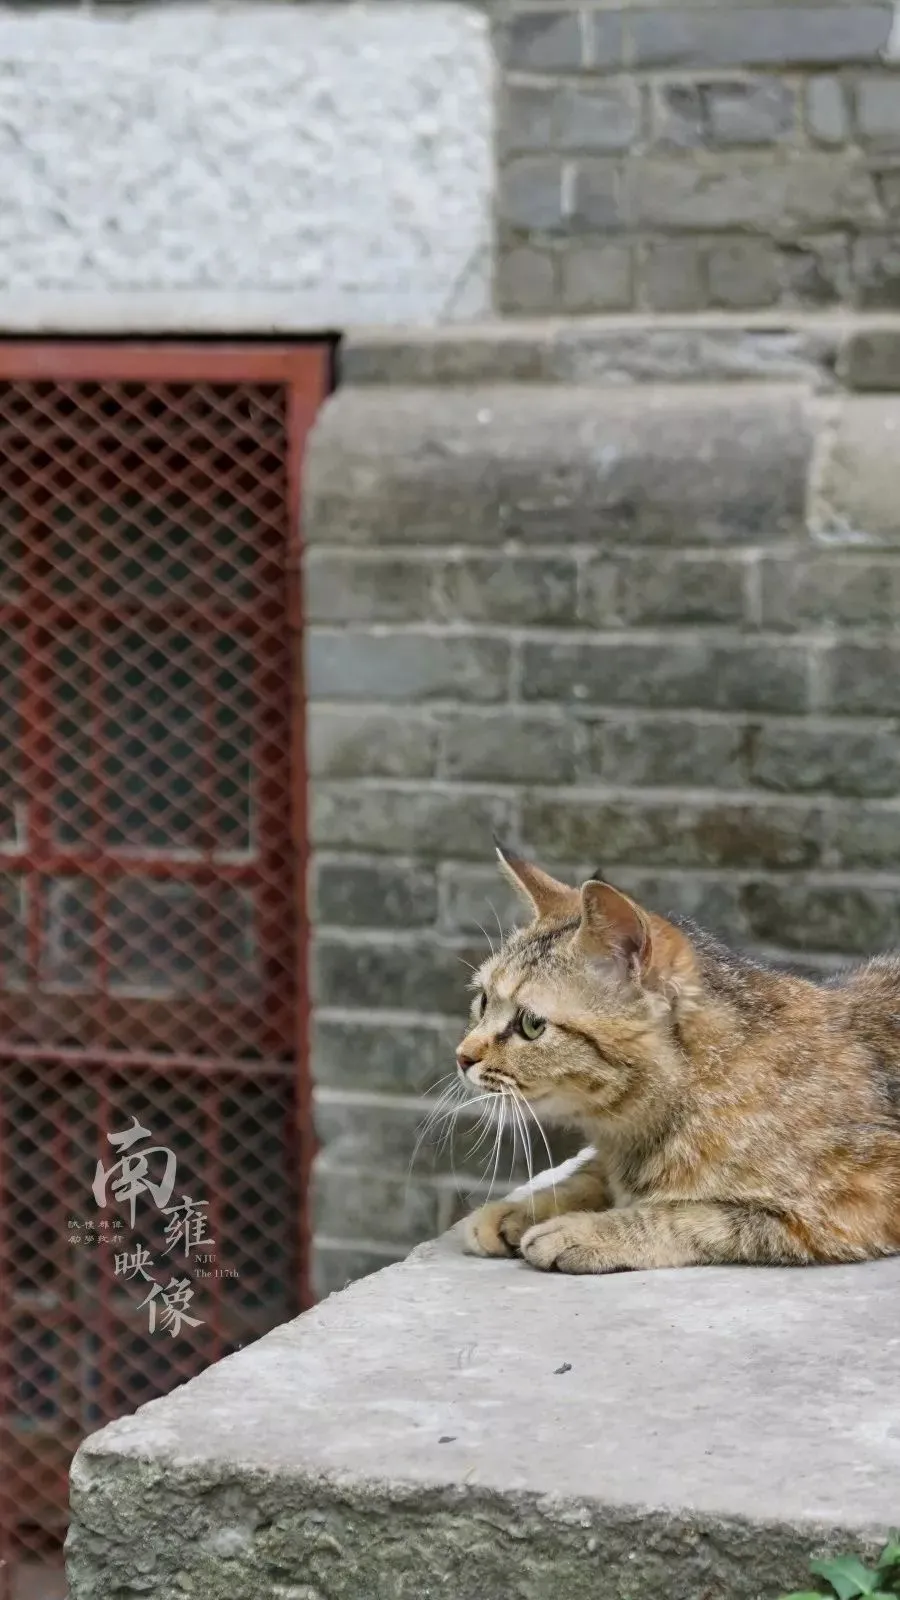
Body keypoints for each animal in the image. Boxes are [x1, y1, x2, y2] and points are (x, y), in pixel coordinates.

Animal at [454, 838, 896, 1273]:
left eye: (531, 1024)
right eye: (484, 1001)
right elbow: (589, 1175)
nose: (462, 1056)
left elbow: (688, 1214)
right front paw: (519, 1209)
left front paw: (585, 1230)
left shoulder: (855, 1204)